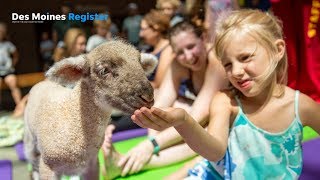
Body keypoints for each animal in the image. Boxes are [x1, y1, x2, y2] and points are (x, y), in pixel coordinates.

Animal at [23, 40, 157, 179]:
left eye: (140, 64)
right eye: (104, 70)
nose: (148, 97)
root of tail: (42, 83)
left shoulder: (92, 165)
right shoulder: (48, 167)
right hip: (30, 143)